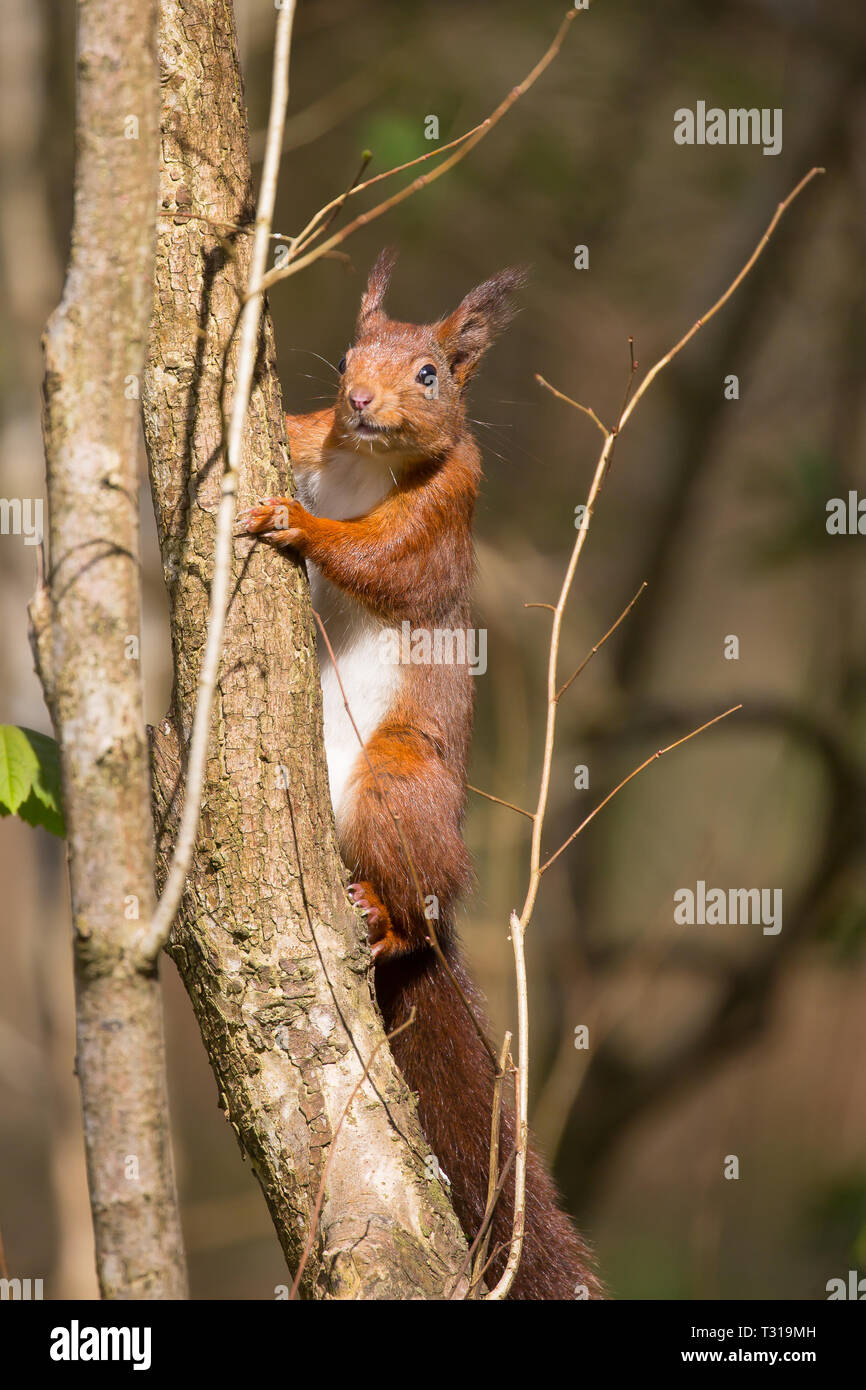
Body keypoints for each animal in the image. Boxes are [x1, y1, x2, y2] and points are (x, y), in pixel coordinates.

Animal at [237, 252, 603, 1301]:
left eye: (432, 373)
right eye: (346, 359)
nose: (361, 400)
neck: (366, 463)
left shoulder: (447, 514)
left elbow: (383, 561)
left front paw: (294, 521)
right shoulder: (311, 439)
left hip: (400, 783)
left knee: (411, 919)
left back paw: (385, 918)